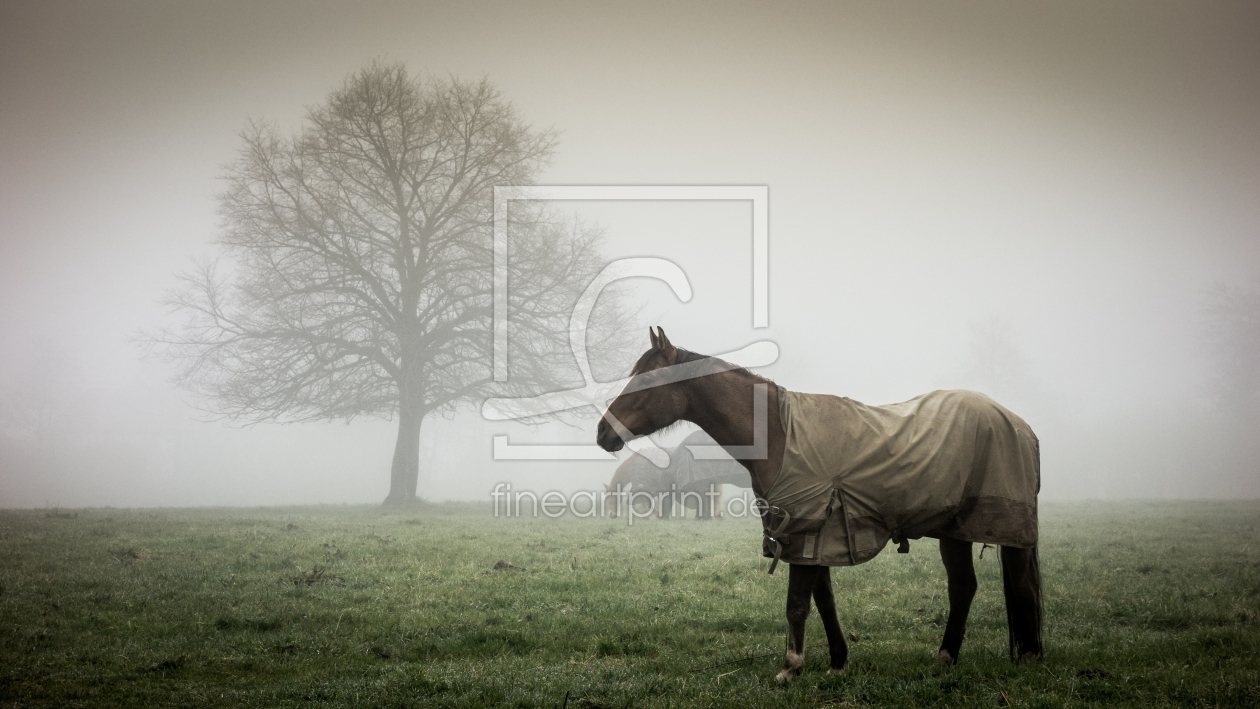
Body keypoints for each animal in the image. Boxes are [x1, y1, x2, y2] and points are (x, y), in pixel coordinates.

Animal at [597, 327, 1043, 680]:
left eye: (646, 381)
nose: (603, 431)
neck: (779, 434)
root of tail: (1020, 425)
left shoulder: (803, 534)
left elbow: (797, 604)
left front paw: (790, 668)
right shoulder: (817, 541)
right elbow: (824, 601)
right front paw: (837, 660)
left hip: (1003, 530)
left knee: (1019, 585)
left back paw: (1027, 657)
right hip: (955, 530)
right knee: (963, 587)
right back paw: (945, 657)